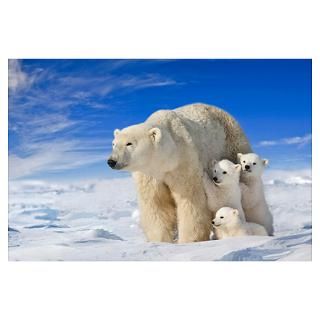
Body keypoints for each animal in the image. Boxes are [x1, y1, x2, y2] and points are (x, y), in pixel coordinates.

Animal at [107, 103, 252, 242]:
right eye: (114, 143)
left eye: (129, 143)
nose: (111, 161)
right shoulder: (149, 175)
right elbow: (156, 204)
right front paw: (160, 240)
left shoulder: (183, 163)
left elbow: (190, 202)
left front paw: (188, 240)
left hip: (232, 144)